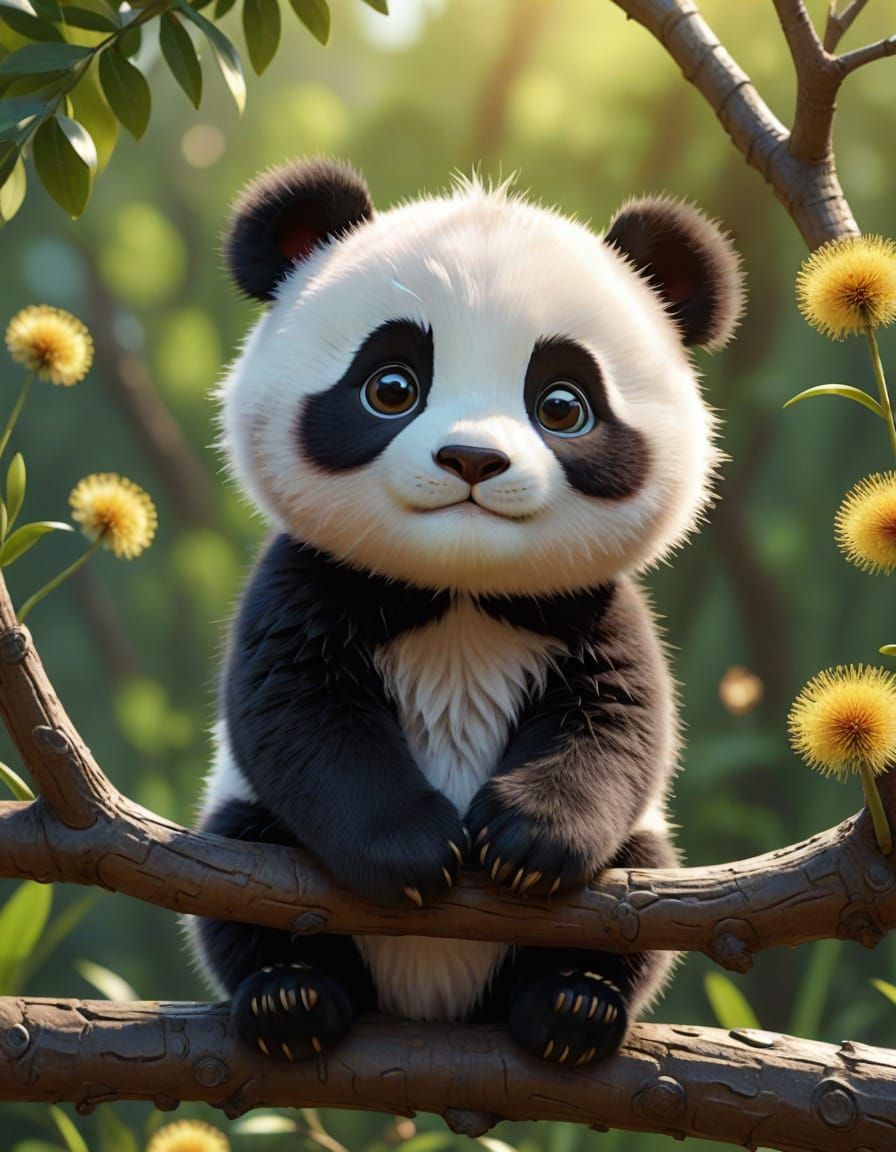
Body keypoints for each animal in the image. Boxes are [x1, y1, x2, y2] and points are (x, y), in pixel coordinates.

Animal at [187, 156, 744, 1069]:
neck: (461, 591)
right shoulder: (306, 581)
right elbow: (298, 713)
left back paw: (571, 1007)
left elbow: (616, 723)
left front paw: (526, 844)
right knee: (238, 864)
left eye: (562, 405)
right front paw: (415, 850)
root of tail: (434, 1000)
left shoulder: (595, 611)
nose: (473, 459)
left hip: (631, 866)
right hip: (250, 833)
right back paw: (292, 1000)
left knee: (642, 877)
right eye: (391, 387)